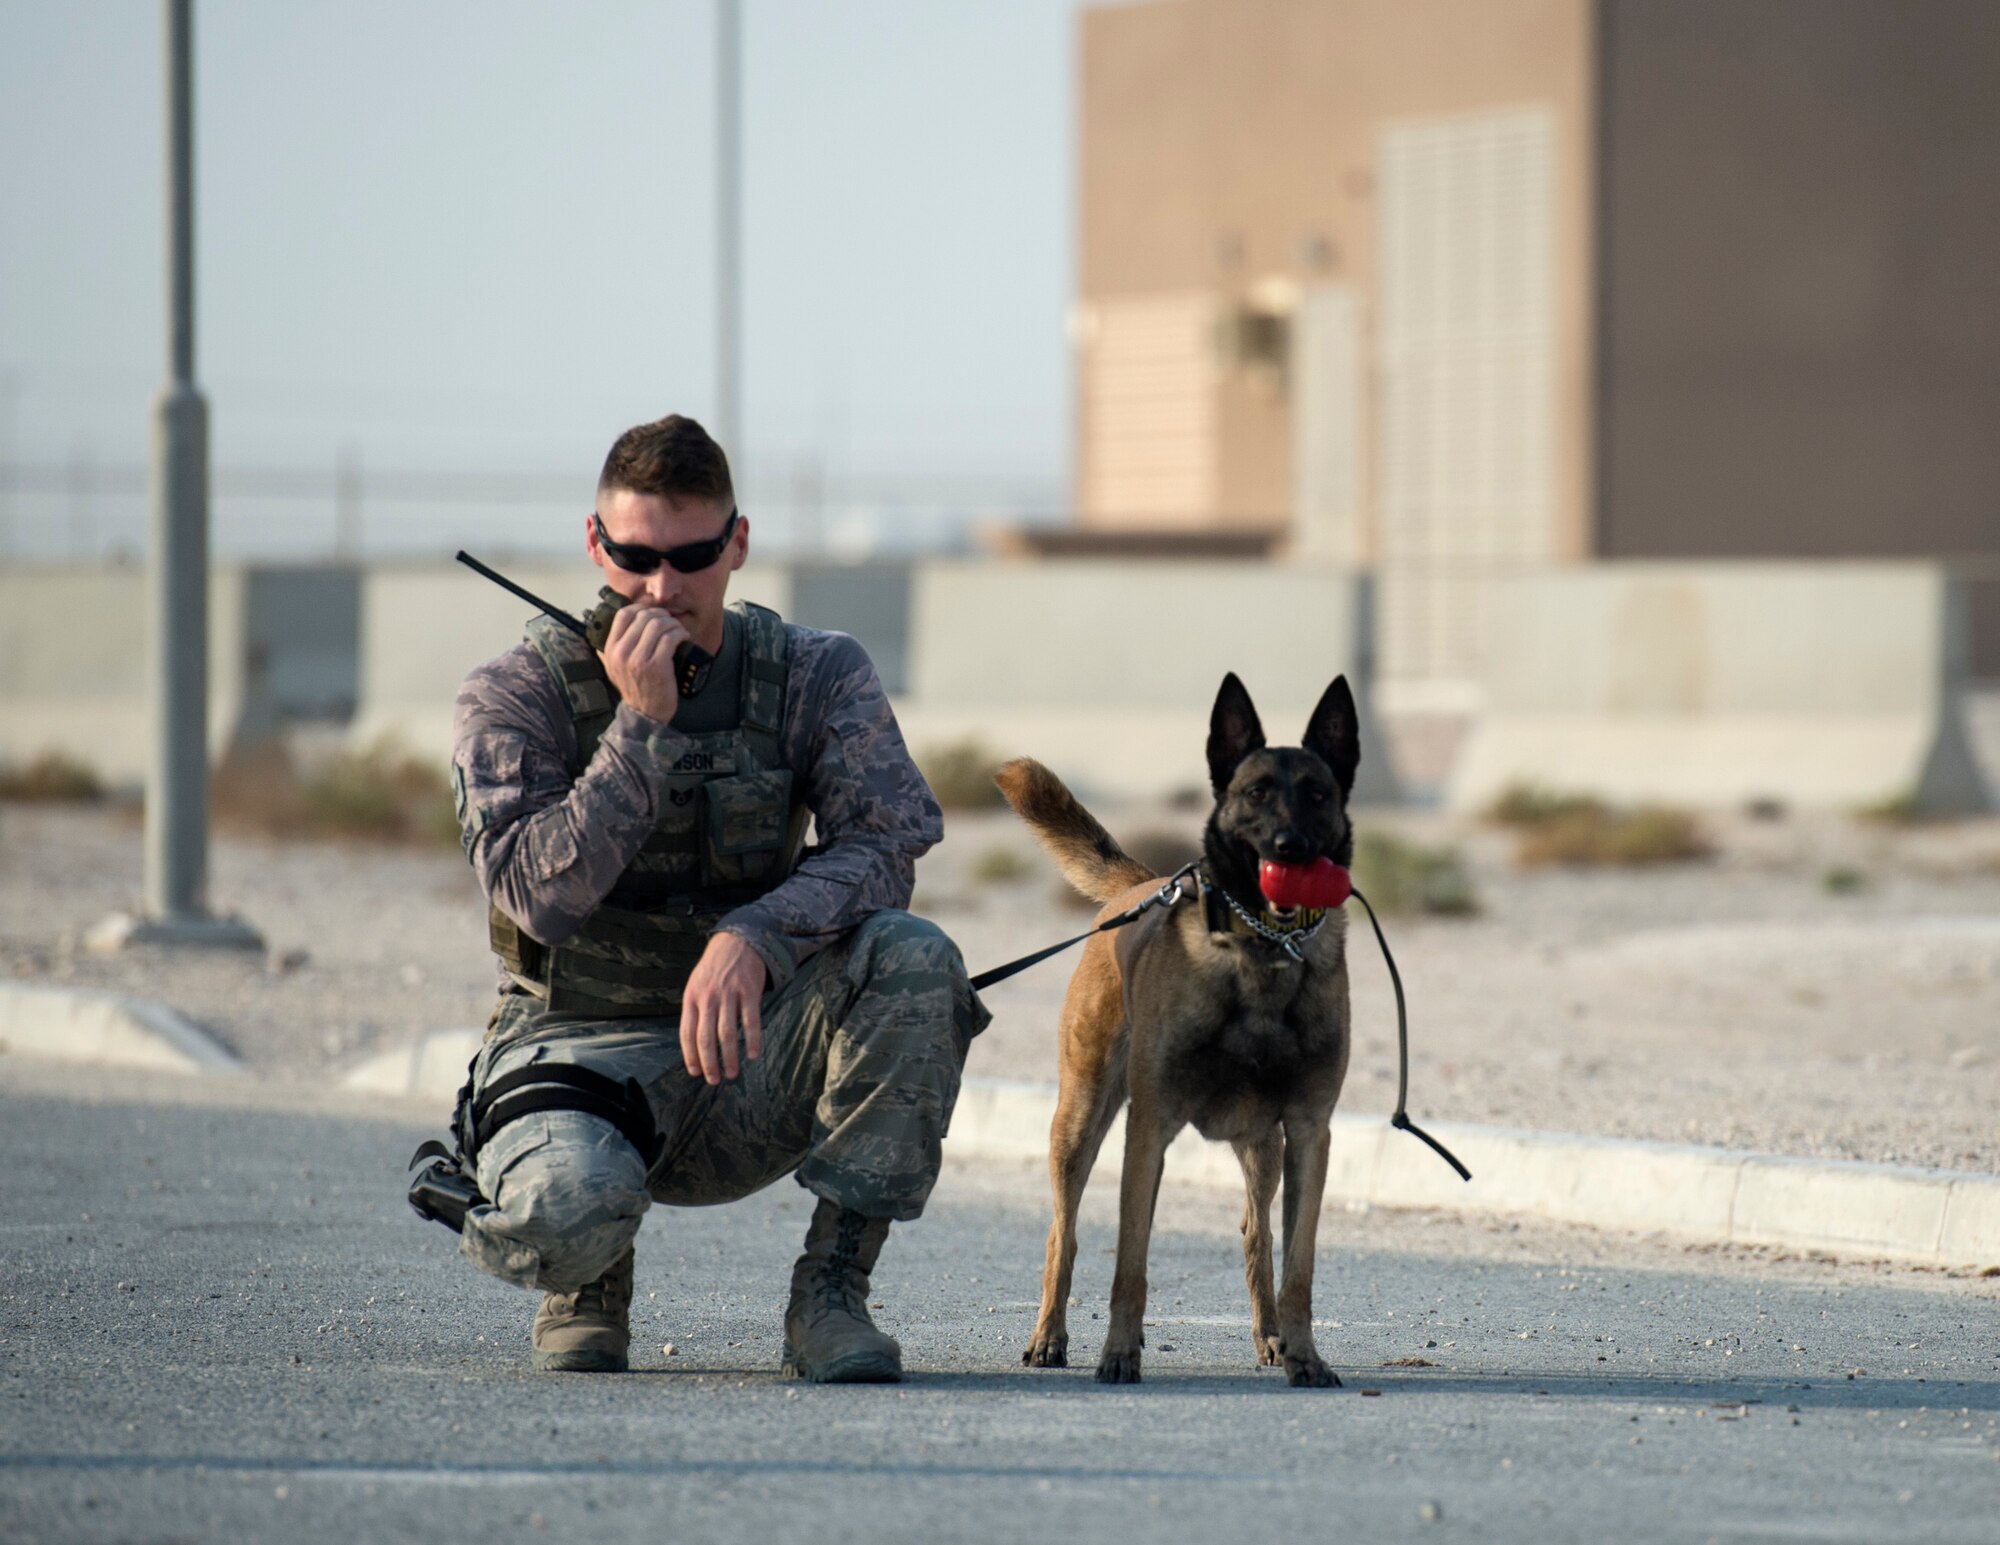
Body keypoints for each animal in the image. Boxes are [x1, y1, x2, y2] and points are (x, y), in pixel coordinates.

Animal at [996, 676, 1360, 1384]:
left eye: (1318, 794)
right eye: (1256, 794)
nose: (1290, 848)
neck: (1262, 951)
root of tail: (1145, 885)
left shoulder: (1309, 1133)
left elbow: (1299, 1267)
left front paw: (1304, 1357)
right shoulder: (1150, 1128)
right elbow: (1129, 1265)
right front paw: (1118, 1355)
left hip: (1261, 1144)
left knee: (1257, 1232)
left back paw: (1270, 1337)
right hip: (1081, 1120)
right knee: (1064, 1231)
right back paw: (1049, 1336)